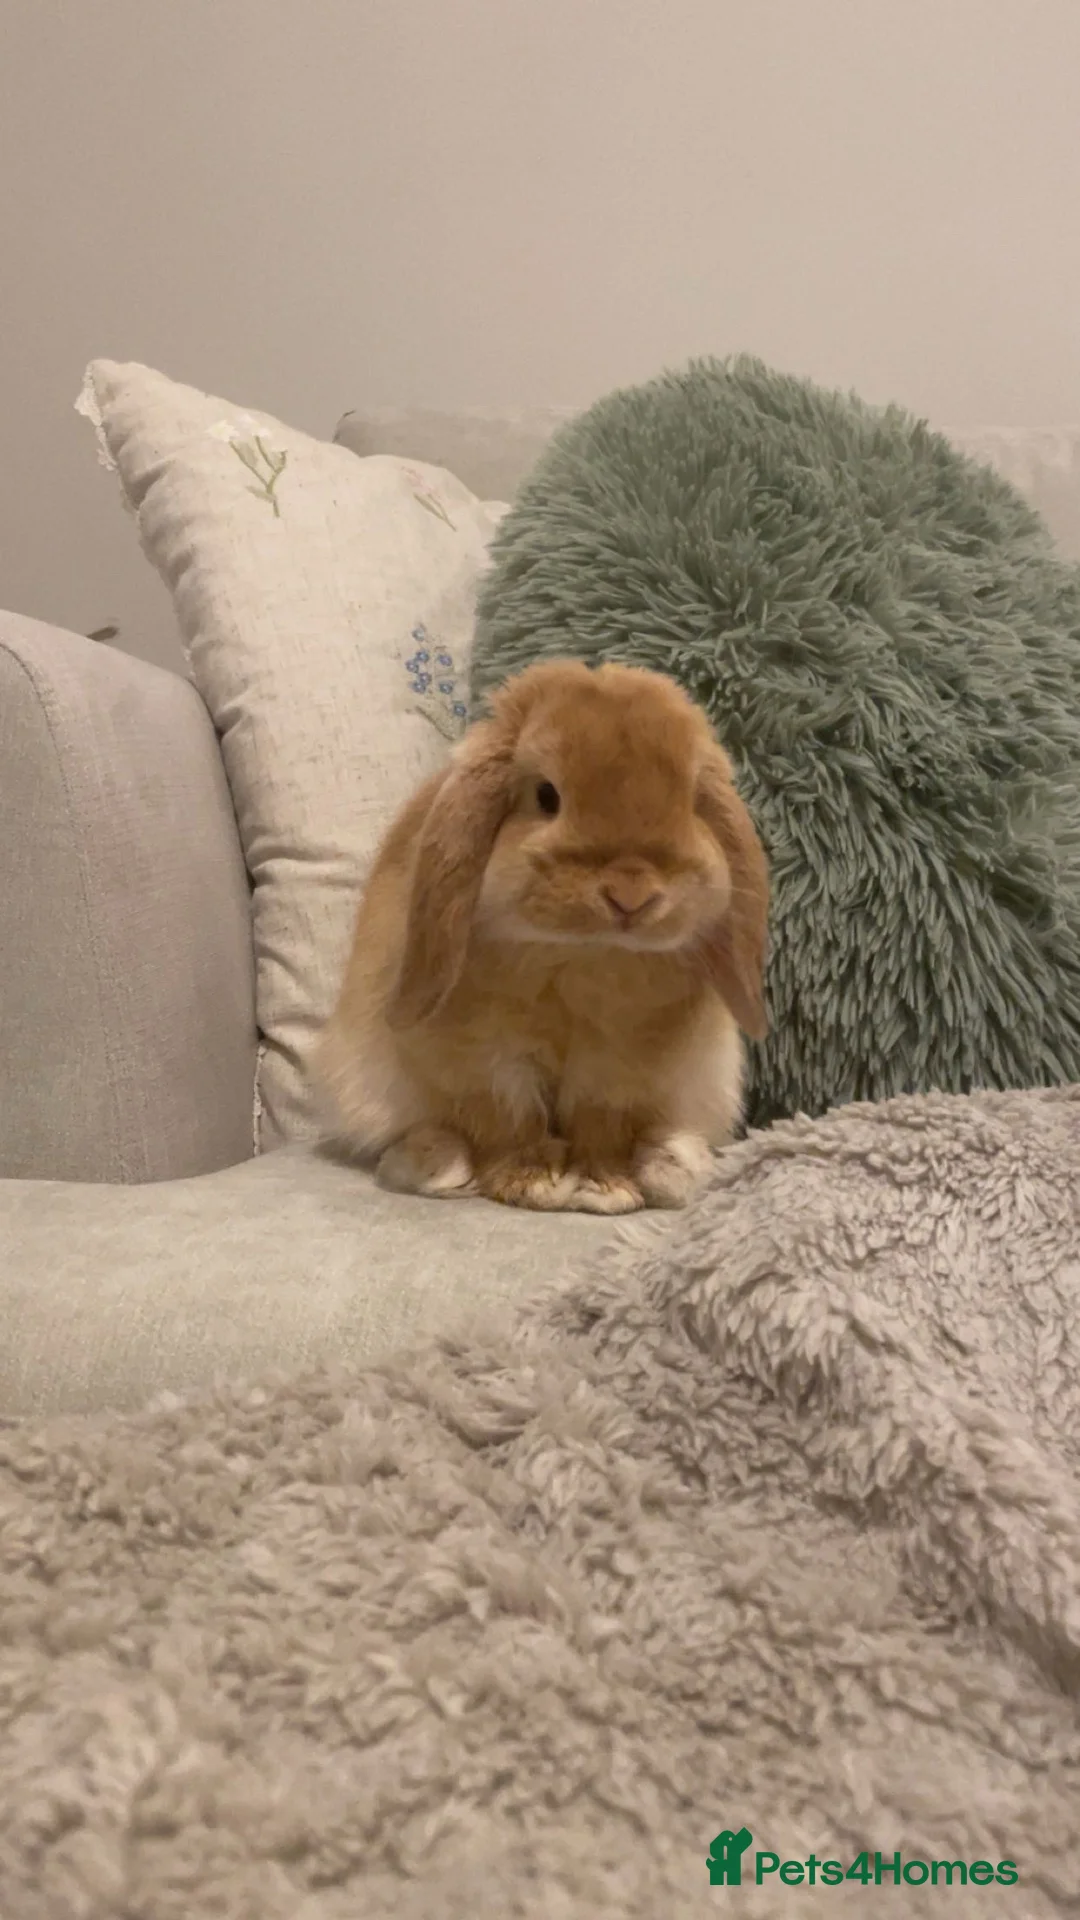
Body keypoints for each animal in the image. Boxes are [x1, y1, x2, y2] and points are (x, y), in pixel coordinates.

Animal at [314, 658, 769, 1214]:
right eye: (546, 796)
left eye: (689, 802)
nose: (631, 893)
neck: (578, 954)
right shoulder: (487, 1063)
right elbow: (507, 1123)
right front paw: (532, 1183)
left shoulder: (616, 1070)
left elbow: (601, 1127)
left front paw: (605, 1188)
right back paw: (435, 1164)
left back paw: (671, 1165)